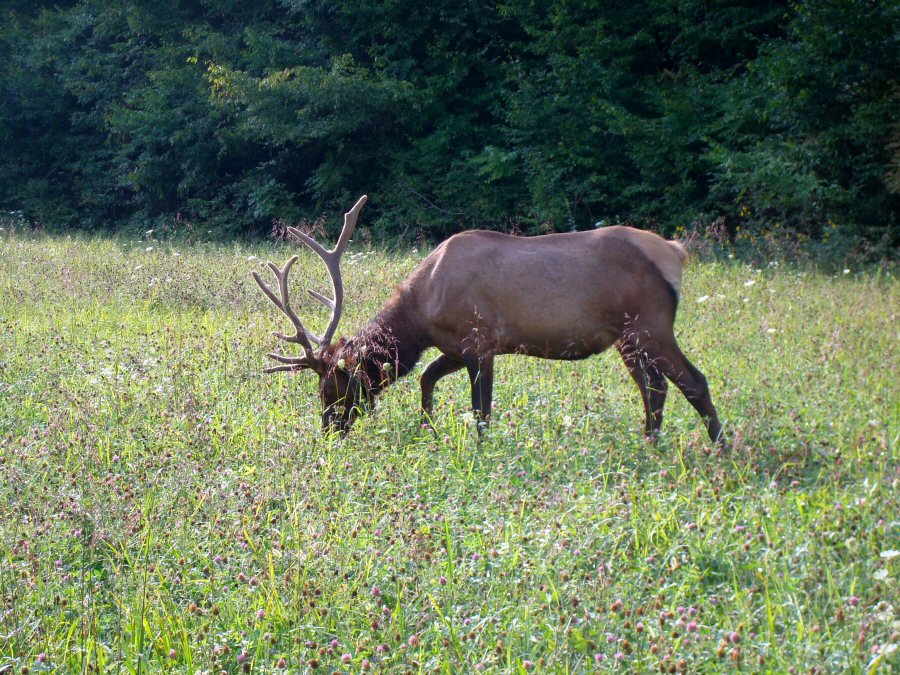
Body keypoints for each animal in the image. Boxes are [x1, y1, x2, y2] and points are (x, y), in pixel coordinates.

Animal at [252, 195, 724, 444]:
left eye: (333, 387)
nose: (328, 432)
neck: (421, 311)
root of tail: (676, 252)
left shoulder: (480, 342)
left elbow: (482, 412)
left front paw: (477, 451)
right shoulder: (455, 346)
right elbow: (427, 380)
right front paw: (430, 430)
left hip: (652, 324)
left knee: (694, 381)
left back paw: (719, 449)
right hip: (627, 337)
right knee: (655, 389)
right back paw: (651, 443)